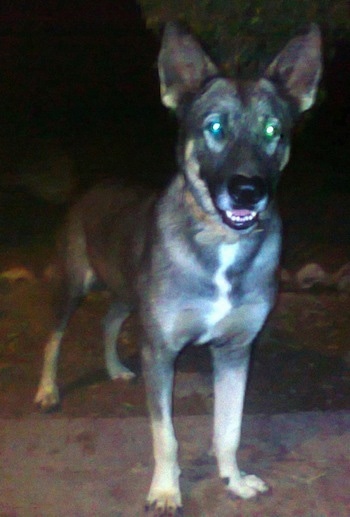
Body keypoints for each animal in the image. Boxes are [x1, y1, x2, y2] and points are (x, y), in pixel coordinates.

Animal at [34, 23, 322, 512]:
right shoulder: (161, 350)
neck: (221, 243)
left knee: (109, 320)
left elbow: (229, 428)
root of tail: (92, 186)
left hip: (127, 293)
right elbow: (165, 437)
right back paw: (47, 391)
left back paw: (114, 369)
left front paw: (233, 479)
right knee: (54, 337)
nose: (248, 191)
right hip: (73, 286)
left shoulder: (234, 350)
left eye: (272, 130)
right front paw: (166, 490)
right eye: (215, 127)